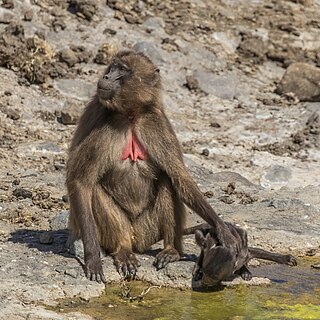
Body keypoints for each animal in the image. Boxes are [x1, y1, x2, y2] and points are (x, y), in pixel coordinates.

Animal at [66, 50, 239, 282]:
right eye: (112, 67)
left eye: (122, 70)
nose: (106, 77)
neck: (131, 114)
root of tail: (136, 241)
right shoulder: (105, 127)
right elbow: (80, 181)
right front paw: (92, 257)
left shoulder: (156, 124)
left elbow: (181, 179)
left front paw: (222, 229)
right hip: (123, 232)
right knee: (94, 190)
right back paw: (123, 250)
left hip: (147, 231)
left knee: (168, 179)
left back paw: (171, 250)